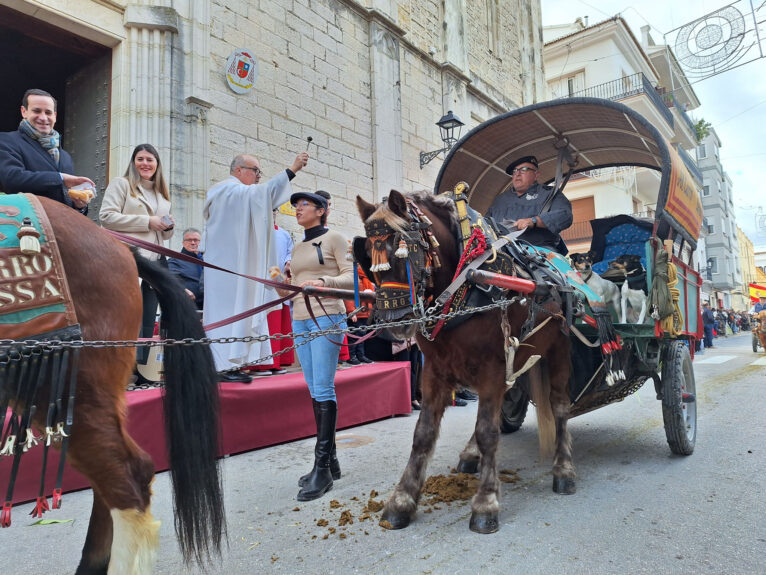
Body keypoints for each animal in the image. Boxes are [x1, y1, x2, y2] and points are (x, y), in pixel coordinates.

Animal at [354, 191, 576, 532]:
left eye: (405, 251)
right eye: (367, 254)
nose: (393, 322)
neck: (467, 281)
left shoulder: (493, 370)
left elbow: (488, 432)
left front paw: (486, 502)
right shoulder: (434, 371)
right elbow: (423, 434)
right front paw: (402, 500)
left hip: (558, 351)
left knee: (560, 406)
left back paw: (563, 470)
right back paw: (471, 455)